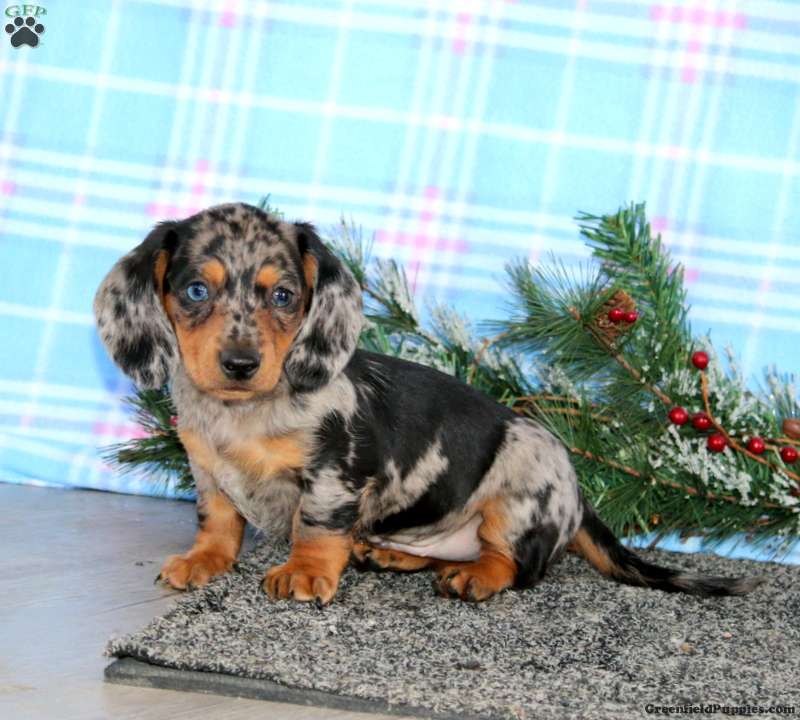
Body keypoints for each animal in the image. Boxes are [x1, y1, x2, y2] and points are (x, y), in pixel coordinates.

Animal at [95, 202, 760, 604]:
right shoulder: (207, 472)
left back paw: (472, 575)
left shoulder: (334, 474)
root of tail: (579, 495)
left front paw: (306, 571)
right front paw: (202, 560)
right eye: (194, 291)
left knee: (517, 567)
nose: (240, 365)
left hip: (516, 496)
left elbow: (315, 525)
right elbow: (218, 521)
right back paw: (389, 554)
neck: (244, 415)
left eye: (283, 295)